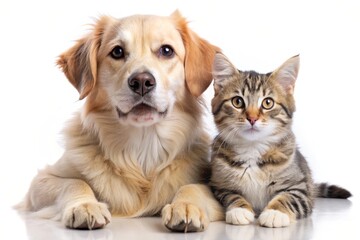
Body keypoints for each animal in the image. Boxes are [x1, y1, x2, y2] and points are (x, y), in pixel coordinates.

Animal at [19, 10, 225, 232]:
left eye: (166, 50)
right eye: (117, 52)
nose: (142, 81)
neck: (142, 147)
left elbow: (194, 187)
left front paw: (186, 206)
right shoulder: (40, 183)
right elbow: (74, 182)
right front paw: (85, 206)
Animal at [210, 53, 350, 228]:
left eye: (267, 103)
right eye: (237, 101)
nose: (252, 118)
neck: (252, 148)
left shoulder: (301, 188)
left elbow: (288, 198)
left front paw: (275, 212)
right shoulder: (218, 185)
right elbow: (231, 195)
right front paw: (239, 209)